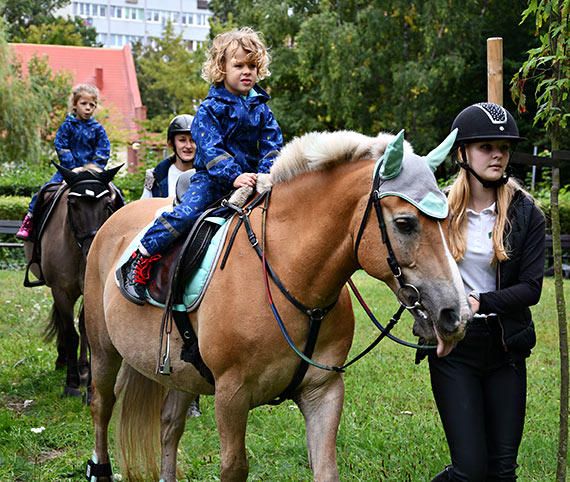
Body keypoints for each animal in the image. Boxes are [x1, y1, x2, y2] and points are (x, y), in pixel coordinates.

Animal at [24, 164, 123, 398]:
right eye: (73, 204)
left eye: (107, 204)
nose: (93, 247)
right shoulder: (60, 290)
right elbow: (70, 334)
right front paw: (71, 384)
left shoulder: (91, 290)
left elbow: (87, 332)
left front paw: (88, 385)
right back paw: (64, 360)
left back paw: (84, 369)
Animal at [82, 130, 468, 480]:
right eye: (405, 223)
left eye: (448, 219)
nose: (456, 314)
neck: (289, 276)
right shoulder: (230, 397)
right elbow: (234, 468)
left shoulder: (323, 391)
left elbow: (326, 469)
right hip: (103, 350)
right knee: (102, 407)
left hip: (179, 372)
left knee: (168, 427)